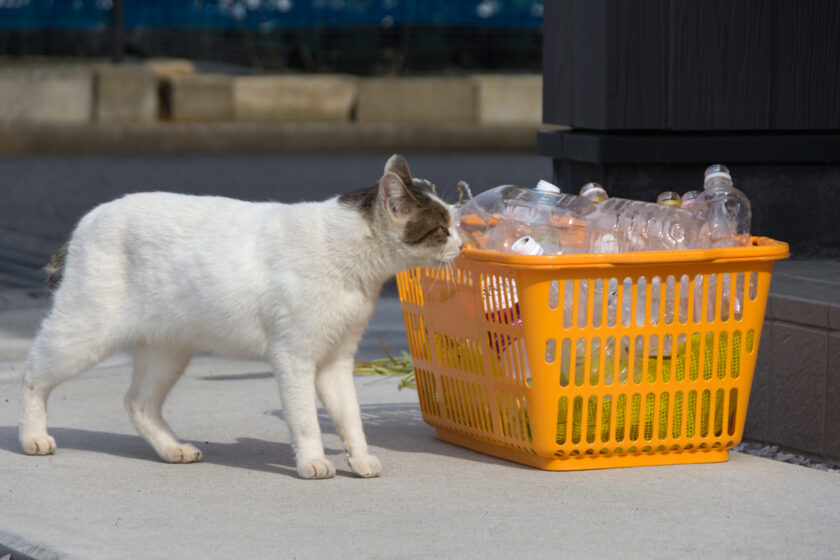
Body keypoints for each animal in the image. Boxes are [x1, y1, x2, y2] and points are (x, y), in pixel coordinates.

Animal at [19, 153, 462, 476]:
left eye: (454, 224)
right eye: (442, 229)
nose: (461, 242)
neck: (346, 253)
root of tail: (87, 219)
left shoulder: (336, 360)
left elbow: (350, 417)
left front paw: (360, 460)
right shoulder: (294, 358)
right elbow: (305, 418)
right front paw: (313, 462)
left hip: (168, 351)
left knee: (138, 403)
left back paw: (173, 449)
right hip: (84, 332)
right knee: (32, 374)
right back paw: (32, 437)